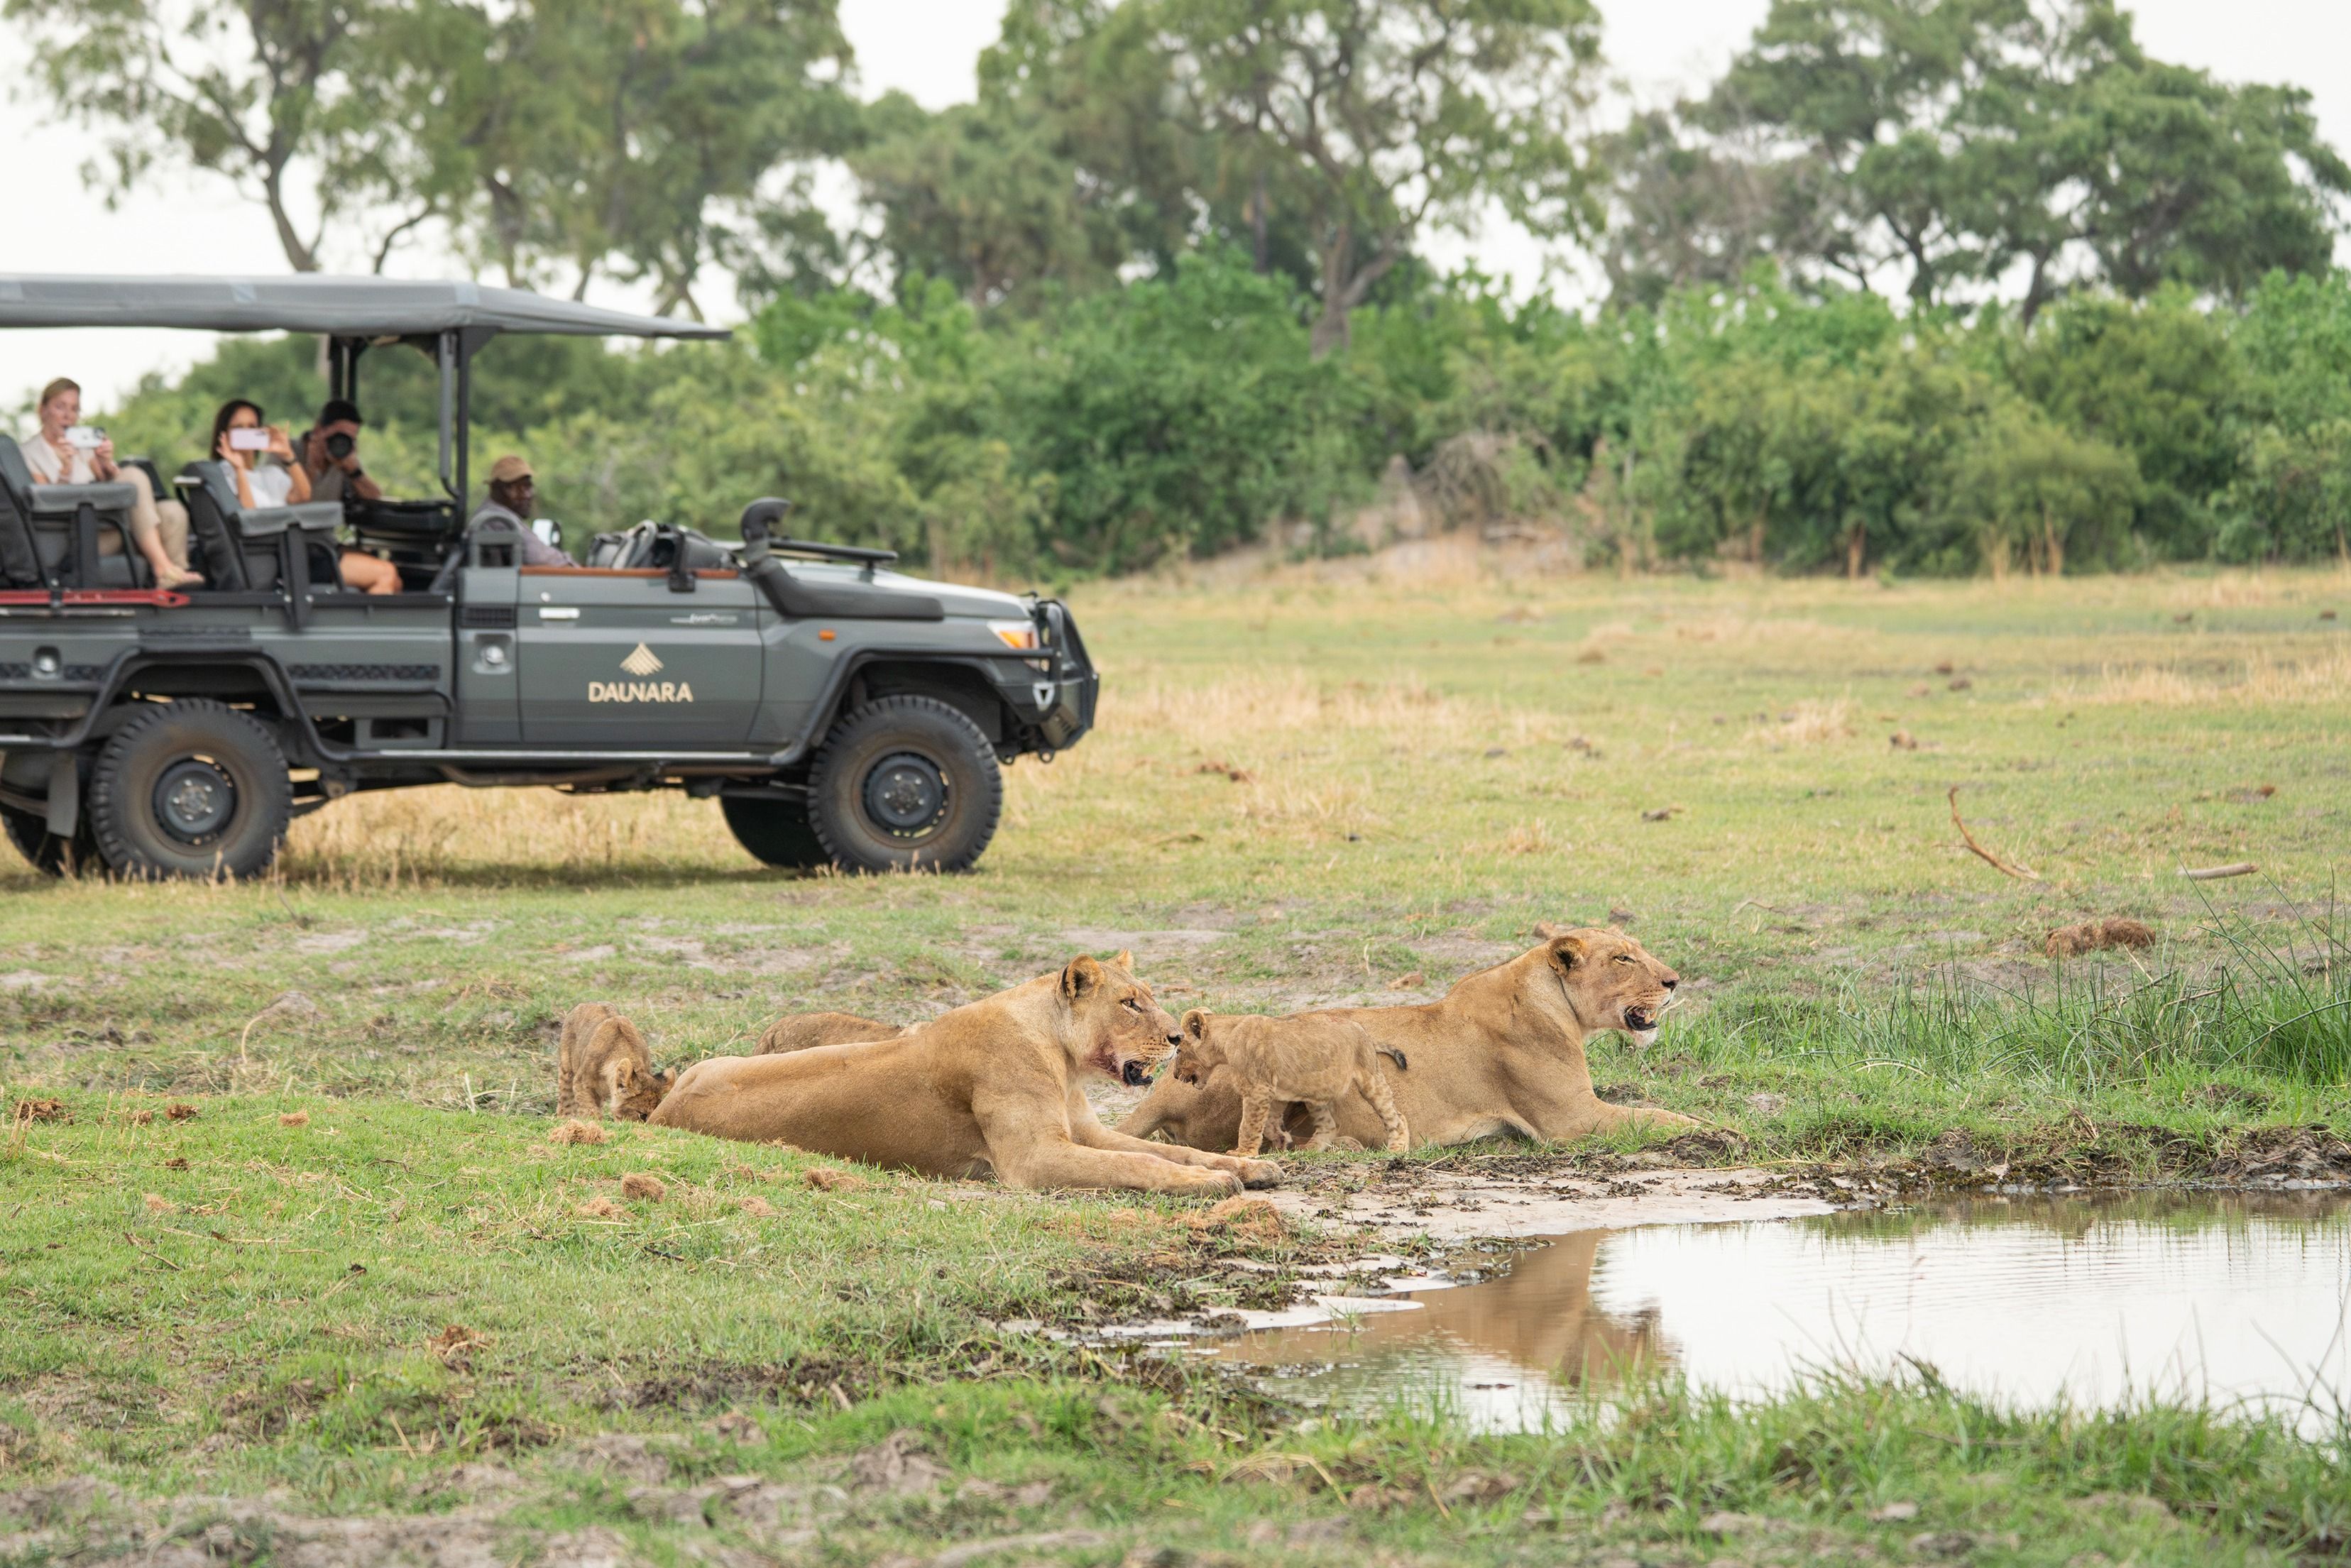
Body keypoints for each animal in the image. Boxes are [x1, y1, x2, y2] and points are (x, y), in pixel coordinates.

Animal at [555, 1002, 675, 1121]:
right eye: (642, 1115)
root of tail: (590, 1002)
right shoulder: (581, 1083)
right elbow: (590, 1109)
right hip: (567, 1068)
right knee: (565, 1096)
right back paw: (564, 1118)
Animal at [648, 954, 1282, 1196]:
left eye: (1148, 996)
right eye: (1130, 1003)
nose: (1176, 1038)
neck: (1059, 1053)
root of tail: (662, 1110)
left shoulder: (1085, 1132)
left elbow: (1171, 1150)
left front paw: (1248, 1167)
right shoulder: (1033, 1160)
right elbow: (1138, 1163)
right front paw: (1210, 1184)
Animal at [1174, 1010, 1410, 1156]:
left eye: (1178, 1051)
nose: (1175, 1076)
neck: (1227, 1037)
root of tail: (1364, 1033)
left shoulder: (1258, 1090)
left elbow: (1248, 1126)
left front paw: (1244, 1153)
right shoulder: (1275, 1092)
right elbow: (1269, 1124)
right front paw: (1281, 1140)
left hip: (1370, 1078)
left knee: (1397, 1116)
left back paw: (1398, 1148)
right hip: (1316, 1092)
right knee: (1329, 1125)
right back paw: (1310, 1149)